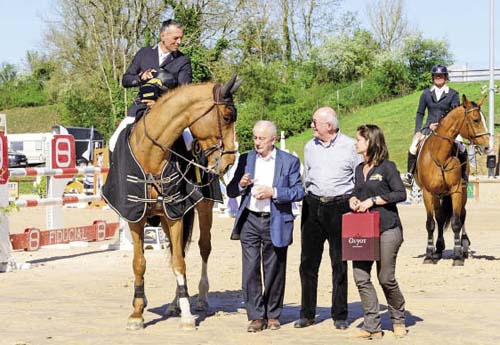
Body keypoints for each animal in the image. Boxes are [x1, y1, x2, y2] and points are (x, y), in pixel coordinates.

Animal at [125, 76, 242, 330]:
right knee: (175, 252)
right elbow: (140, 263)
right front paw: (137, 312)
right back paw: (175, 302)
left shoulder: (174, 215)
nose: (229, 162)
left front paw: (188, 315)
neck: (151, 153)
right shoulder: (135, 218)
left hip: (204, 208)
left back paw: (200, 298)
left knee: (203, 247)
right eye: (227, 117)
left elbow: (179, 262)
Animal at [414, 94, 488, 266]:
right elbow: (431, 223)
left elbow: (456, 222)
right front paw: (429, 254)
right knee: (440, 218)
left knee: (462, 214)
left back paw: (464, 245)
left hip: (463, 191)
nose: (488, 146)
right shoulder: (428, 193)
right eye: (476, 120)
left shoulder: (456, 190)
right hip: (437, 195)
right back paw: (438, 249)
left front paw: (458, 255)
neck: (440, 154)